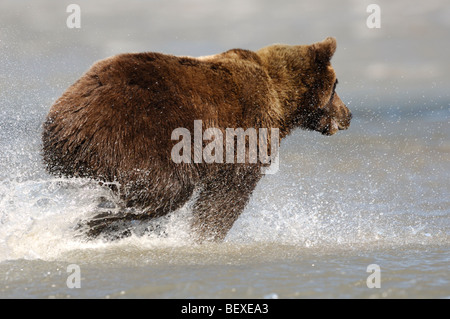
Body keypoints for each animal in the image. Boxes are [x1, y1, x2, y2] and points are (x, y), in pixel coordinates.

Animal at [42, 37, 352, 242]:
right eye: (336, 86)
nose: (348, 115)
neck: (281, 100)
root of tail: (60, 117)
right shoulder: (245, 130)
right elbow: (227, 193)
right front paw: (202, 235)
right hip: (131, 134)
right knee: (164, 190)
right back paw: (93, 224)